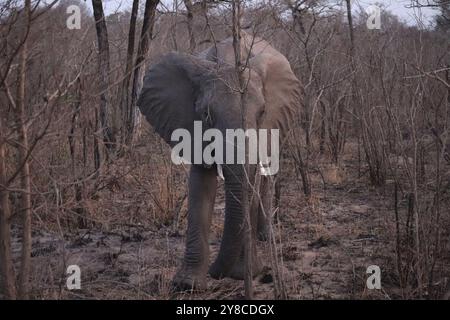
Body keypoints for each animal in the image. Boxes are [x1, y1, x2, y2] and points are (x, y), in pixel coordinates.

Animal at [135, 31, 300, 290]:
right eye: (206, 115)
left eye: (262, 113)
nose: (217, 273)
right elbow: (201, 184)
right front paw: (188, 284)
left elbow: (251, 182)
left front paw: (246, 273)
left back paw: (266, 236)